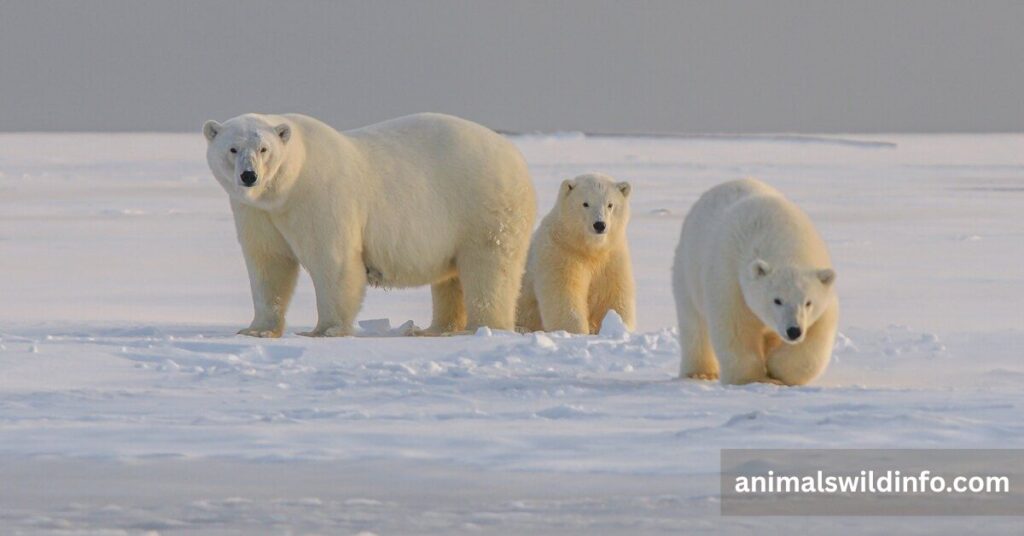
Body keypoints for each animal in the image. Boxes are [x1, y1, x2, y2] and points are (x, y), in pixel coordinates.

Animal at [202, 112, 537, 337]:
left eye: (264, 149)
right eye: (232, 149)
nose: (249, 176)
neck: (287, 187)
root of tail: (516, 156)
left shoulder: (320, 197)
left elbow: (333, 261)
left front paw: (325, 330)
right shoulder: (257, 212)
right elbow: (268, 263)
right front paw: (256, 330)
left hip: (482, 206)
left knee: (489, 268)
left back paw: (483, 327)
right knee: (451, 278)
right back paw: (436, 328)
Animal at [516, 172, 635, 334]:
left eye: (610, 204)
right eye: (585, 203)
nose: (599, 225)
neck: (588, 248)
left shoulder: (612, 256)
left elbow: (613, 295)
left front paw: (619, 326)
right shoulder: (561, 252)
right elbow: (565, 295)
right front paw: (577, 332)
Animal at [671, 178, 838, 385]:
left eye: (808, 302)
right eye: (777, 300)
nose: (794, 331)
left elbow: (818, 335)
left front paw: (776, 370)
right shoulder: (730, 278)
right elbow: (735, 327)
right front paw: (752, 378)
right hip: (687, 270)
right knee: (694, 323)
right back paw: (700, 373)